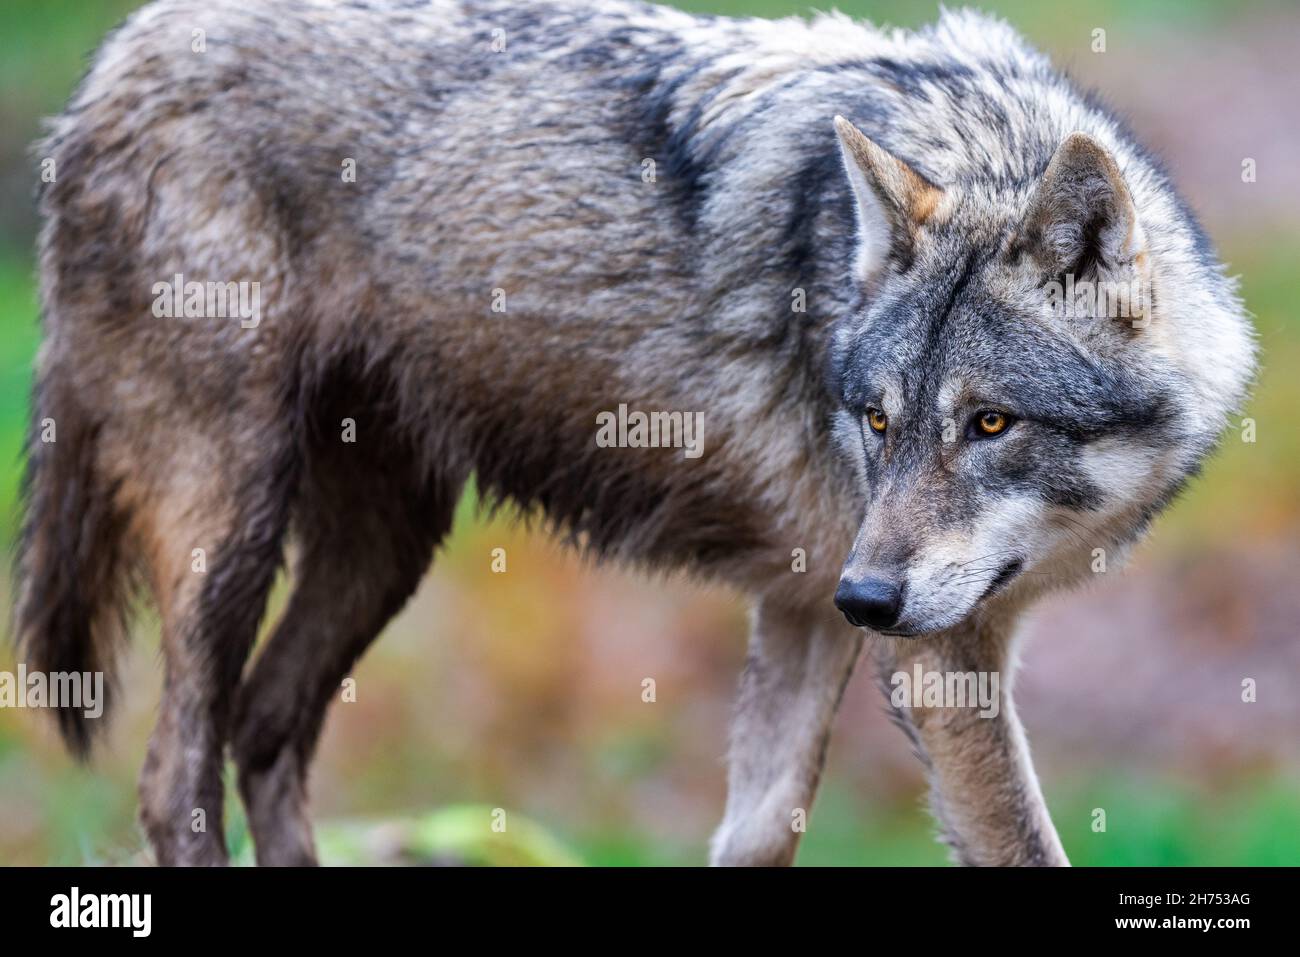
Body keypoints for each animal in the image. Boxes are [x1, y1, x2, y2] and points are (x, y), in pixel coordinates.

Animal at [15, 0, 1254, 866]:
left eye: (988, 422)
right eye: (877, 420)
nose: (871, 596)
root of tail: (114, 57)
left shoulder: (806, 609)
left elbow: (757, 834)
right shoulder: (930, 654)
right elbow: (1022, 846)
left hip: (384, 551)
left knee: (266, 733)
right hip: (233, 542)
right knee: (177, 776)